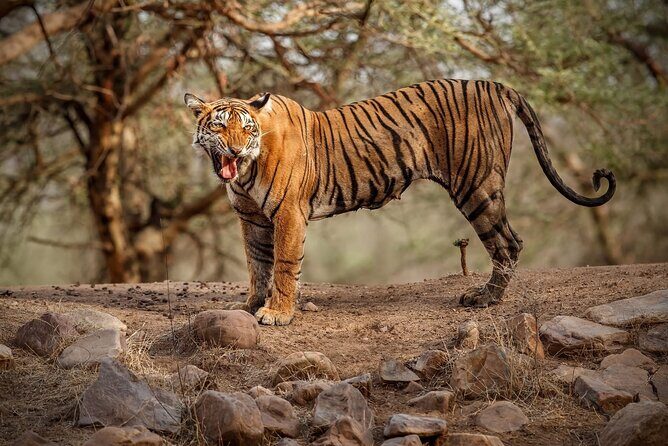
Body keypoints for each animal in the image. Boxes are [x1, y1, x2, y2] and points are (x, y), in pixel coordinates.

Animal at [184, 79, 616, 326]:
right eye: (219, 125)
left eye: (247, 128)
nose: (236, 149)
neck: (245, 171)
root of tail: (495, 85)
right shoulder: (252, 218)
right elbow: (257, 264)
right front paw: (251, 305)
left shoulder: (288, 213)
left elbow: (284, 265)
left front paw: (277, 313)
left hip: (477, 185)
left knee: (508, 243)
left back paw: (485, 299)